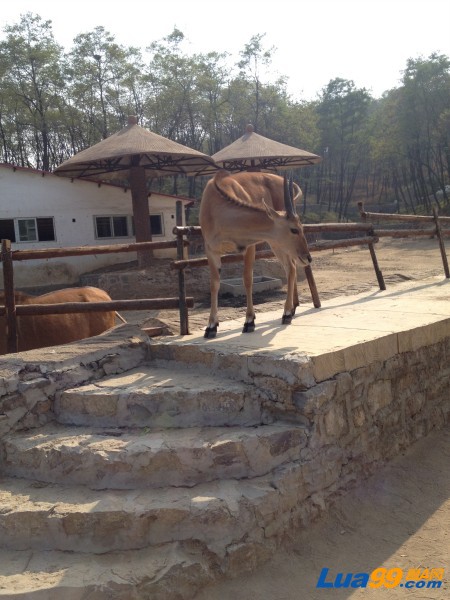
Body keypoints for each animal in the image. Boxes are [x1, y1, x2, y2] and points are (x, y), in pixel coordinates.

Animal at [199, 170, 312, 338]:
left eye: (301, 228)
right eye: (294, 229)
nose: (308, 257)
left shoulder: (249, 246)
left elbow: (247, 279)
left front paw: (249, 321)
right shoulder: (211, 250)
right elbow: (214, 284)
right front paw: (211, 326)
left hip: (276, 244)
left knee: (290, 268)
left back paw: (286, 313)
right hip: (277, 244)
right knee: (290, 267)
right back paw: (291, 309)